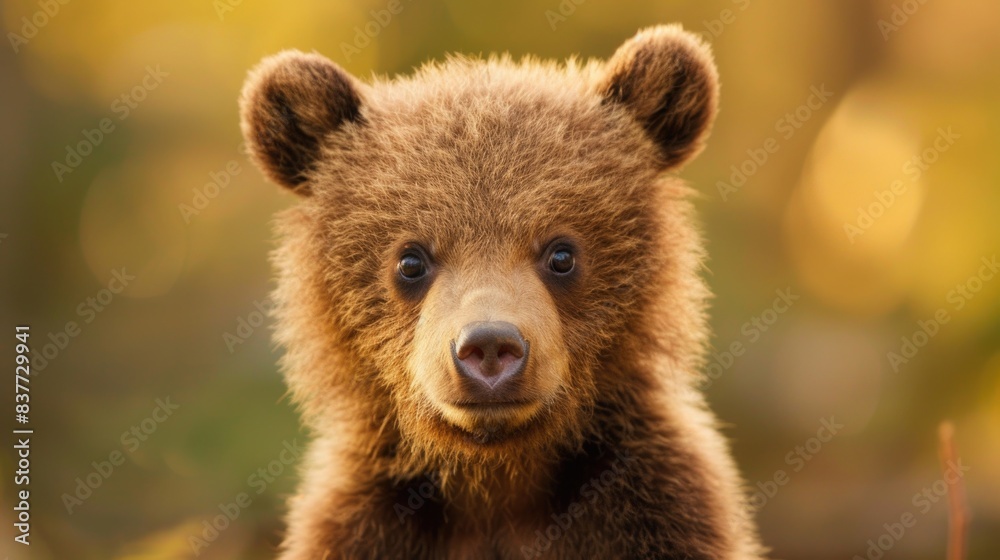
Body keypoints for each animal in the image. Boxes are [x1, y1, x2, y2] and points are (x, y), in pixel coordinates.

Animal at [239, 24, 765, 560]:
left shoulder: (652, 506)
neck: (497, 479)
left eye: (561, 253)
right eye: (411, 260)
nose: (489, 347)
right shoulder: (366, 525)